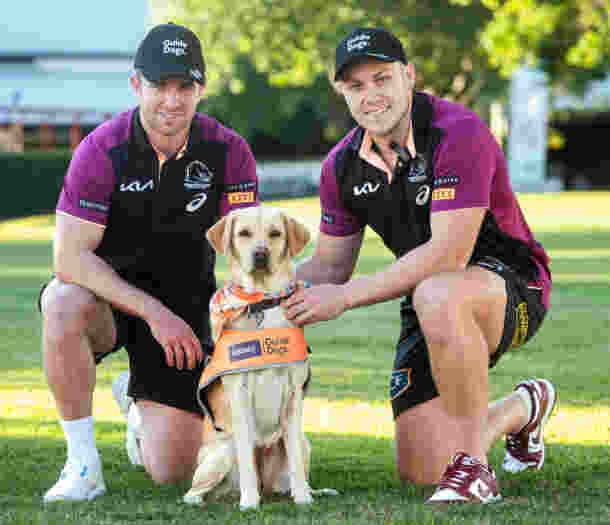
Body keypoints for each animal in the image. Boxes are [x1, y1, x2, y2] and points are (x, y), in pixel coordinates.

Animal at [184, 205, 332, 508]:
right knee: (195, 490)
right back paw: (212, 499)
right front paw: (249, 503)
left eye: (275, 233)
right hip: (223, 451)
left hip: (303, 442)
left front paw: (303, 499)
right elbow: (247, 460)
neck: (261, 301)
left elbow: (295, 462)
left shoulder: (293, 396)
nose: (260, 254)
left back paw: (307, 491)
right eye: (244, 233)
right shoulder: (239, 396)